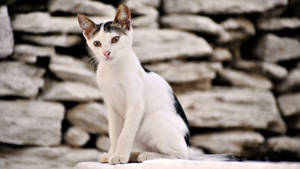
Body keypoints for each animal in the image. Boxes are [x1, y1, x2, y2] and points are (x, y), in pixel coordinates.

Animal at [78, 3, 230, 165]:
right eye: (97, 43)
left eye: (115, 39)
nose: (106, 53)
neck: (113, 69)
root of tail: (189, 147)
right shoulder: (112, 108)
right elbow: (114, 134)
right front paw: (112, 154)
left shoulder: (136, 104)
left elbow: (125, 134)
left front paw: (120, 156)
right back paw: (135, 154)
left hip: (156, 119)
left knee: (181, 156)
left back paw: (147, 156)